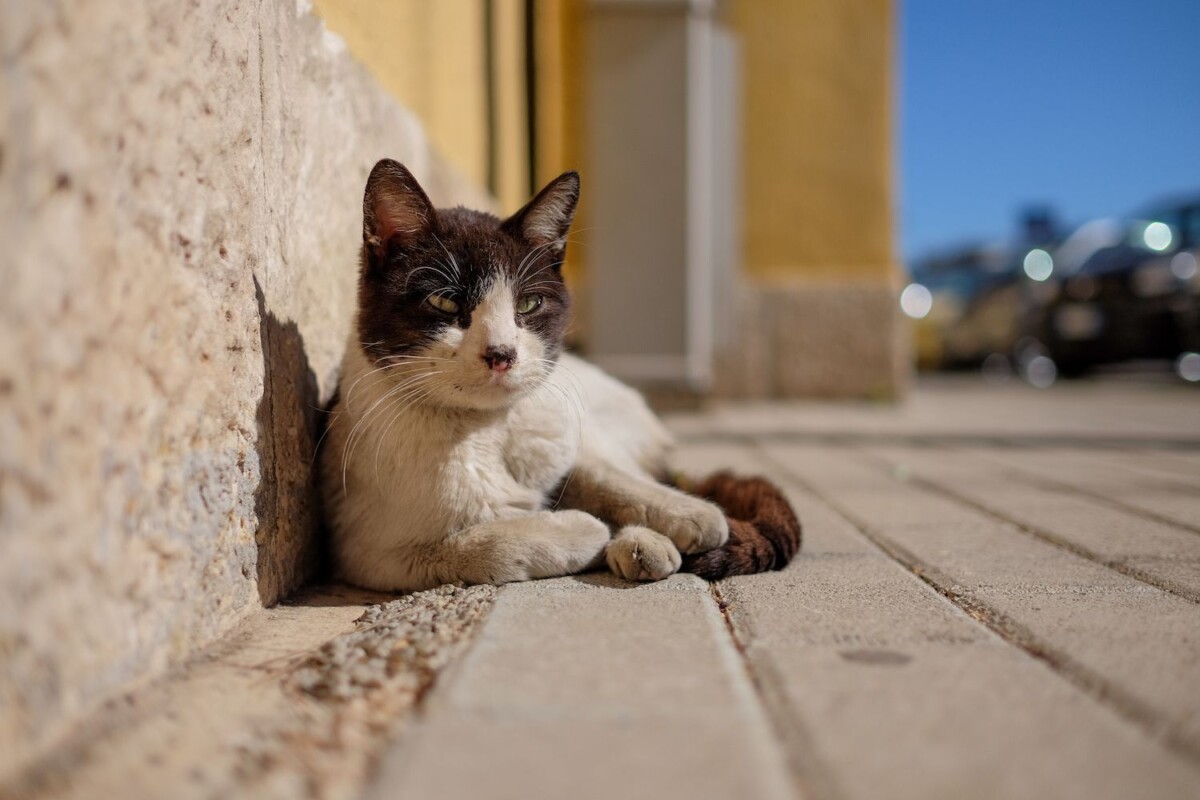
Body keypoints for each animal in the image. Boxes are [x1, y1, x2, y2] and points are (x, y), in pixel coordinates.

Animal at [319, 159, 796, 592]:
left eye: (528, 304)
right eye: (444, 302)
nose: (501, 354)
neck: (489, 430)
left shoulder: (570, 439)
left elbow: (605, 476)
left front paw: (690, 514)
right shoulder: (373, 553)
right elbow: (484, 546)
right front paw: (582, 529)